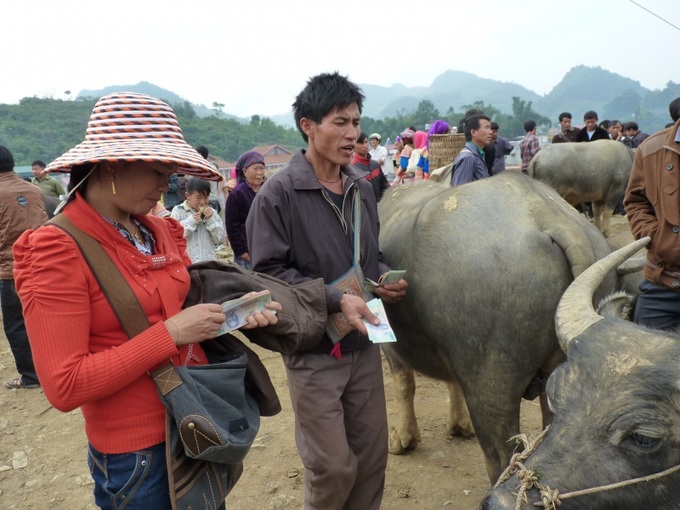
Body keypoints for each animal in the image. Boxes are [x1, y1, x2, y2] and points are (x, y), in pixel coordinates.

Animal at [378, 173, 636, 484]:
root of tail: (546, 212)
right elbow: (451, 382)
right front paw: (458, 425)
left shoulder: (391, 345)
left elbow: (404, 385)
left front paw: (402, 440)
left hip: (492, 386)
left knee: (501, 457)